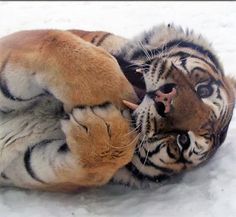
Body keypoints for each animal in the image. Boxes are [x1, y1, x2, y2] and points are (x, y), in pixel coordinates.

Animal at [0, 22, 235, 191]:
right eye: (203, 90)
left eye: (182, 140)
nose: (165, 101)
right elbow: (63, 46)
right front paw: (112, 93)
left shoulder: (24, 165)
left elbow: (94, 170)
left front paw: (102, 128)